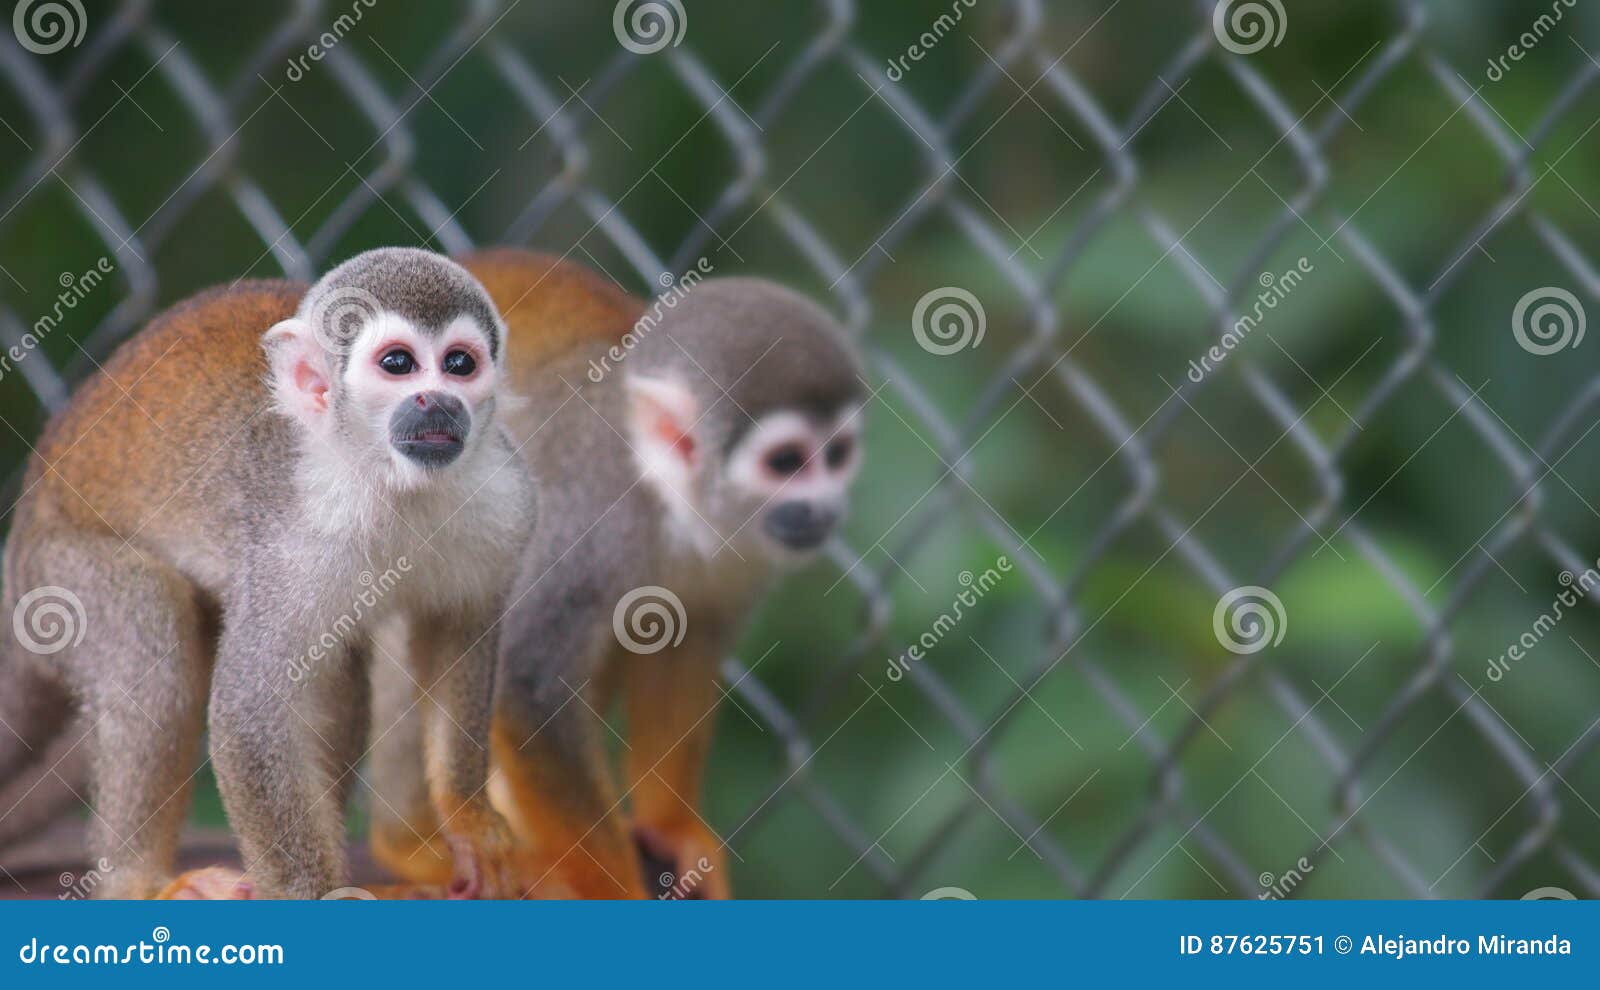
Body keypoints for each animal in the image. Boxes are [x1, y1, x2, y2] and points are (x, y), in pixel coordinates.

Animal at [0, 247, 537, 895]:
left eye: (459, 364)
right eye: (398, 364)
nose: (439, 401)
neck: (386, 478)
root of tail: (31, 504)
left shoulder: (503, 499)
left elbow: (458, 628)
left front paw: (469, 819)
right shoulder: (290, 539)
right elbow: (250, 708)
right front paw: (321, 896)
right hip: (55, 573)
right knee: (155, 631)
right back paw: (140, 882)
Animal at [366, 251, 864, 902]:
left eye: (837, 455)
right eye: (786, 462)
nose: (825, 510)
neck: (666, 496)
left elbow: (687, 645)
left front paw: (672, 826)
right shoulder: (583, 507)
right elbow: (527, 680)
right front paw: (611, 888)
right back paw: (410, 846)